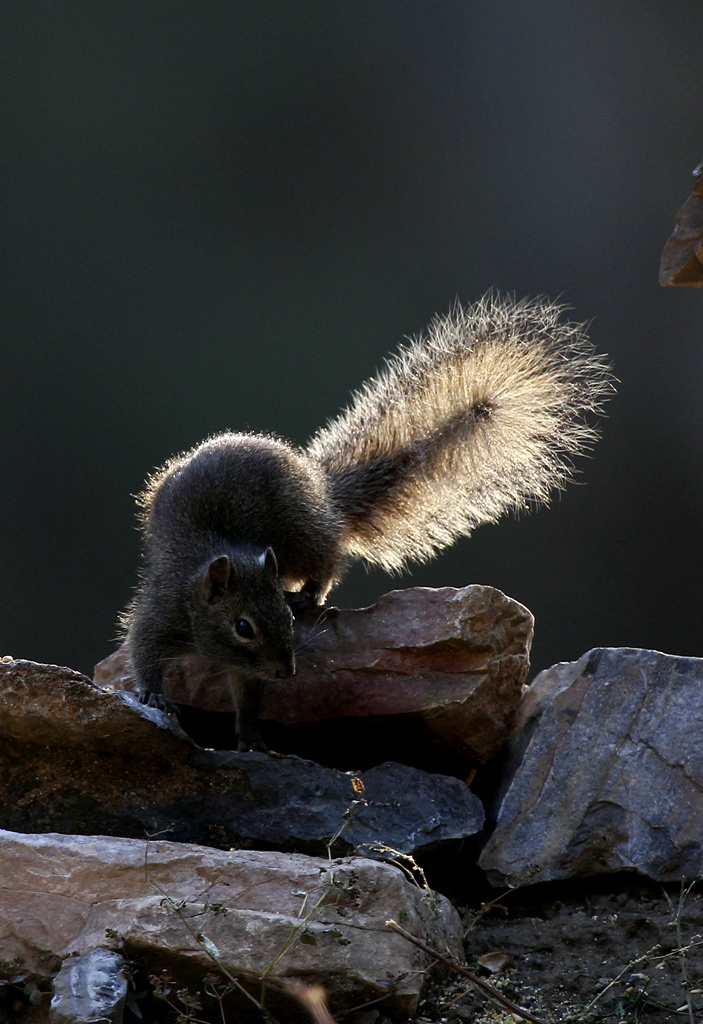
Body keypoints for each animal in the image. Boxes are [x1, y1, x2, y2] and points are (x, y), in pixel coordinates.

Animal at [123, 292, 613, 749]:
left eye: (282, 618)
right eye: (243, 627)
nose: (286, 670)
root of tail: (321, 491)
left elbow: (248, 694)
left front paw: (250, 735)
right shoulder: (163, 608)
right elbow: (144, 651)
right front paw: (155, 695)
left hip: (302, 533)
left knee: (328, 562)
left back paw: (309, 594)